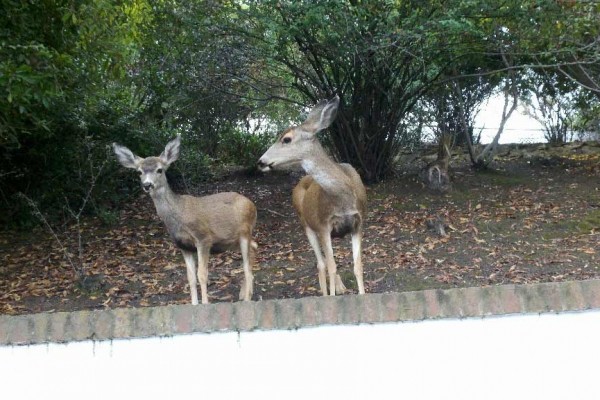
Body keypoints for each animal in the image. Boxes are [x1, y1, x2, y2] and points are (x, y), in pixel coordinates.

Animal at [111, 136, 256, 304]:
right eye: (139, 172)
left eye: (160, 170)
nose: (147, 185)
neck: (179, 216)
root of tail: (253, 205)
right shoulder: (183, 246)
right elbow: (190, 278)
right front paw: (194, 304)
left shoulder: (203, 238)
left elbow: (202, 275)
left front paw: (205, 303)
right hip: (232, 241)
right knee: (252, 254)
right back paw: (243, 295)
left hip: (245, 232)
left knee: (247, 267)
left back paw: (247, 299)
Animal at [256, 96, 368, 296]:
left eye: (286, 139)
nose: (260, 162)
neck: (343, 198)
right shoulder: (323, 225)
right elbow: (331, 267)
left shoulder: (358, 223)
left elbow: (358, 266)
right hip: (305, 223)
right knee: (321, 264)